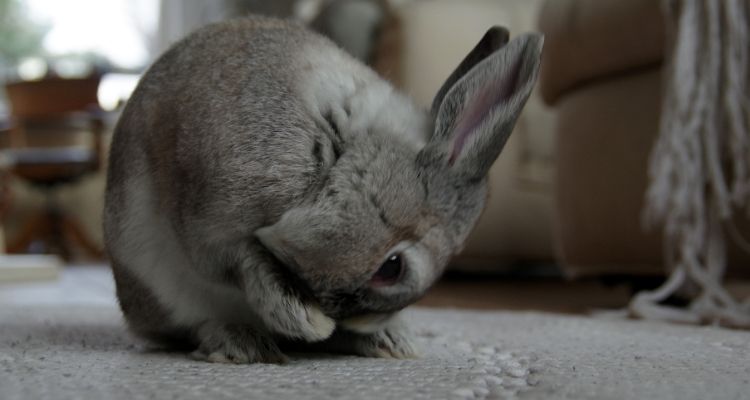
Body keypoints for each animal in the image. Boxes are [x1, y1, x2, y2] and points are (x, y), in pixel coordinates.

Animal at [103, 15, 544, 362]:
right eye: (392, 267)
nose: (335, 313)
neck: (339, 153)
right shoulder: (208, 227)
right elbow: (243, 263)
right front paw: (308, 321)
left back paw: (390, 343)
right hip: (162, 287)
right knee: (194, 325)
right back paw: (243, 343)